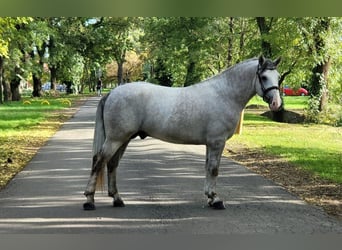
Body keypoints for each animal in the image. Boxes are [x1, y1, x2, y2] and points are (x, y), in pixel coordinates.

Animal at [83, 55, 280, 210]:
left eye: (278, 77)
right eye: (263, 77)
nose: (276, 103)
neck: (224, 94)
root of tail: (112, 93)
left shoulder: (210, 144)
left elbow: (208, 168)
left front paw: (210, 197)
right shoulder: (217, 142)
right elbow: (214, 169)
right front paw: (216, 199)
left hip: (123, 139)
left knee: (112, 164)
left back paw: (117, 199)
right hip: (115, 139)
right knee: (99, 161)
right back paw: (89, 200)